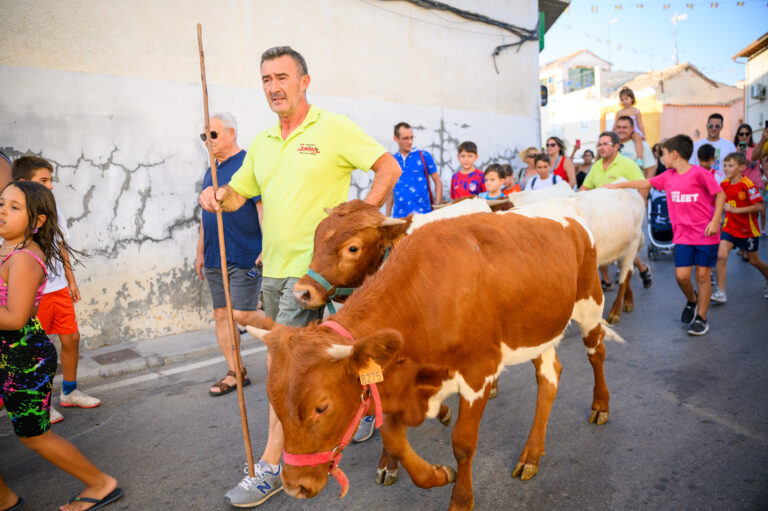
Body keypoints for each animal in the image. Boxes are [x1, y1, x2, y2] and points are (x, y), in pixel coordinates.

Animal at [252, 205, 624, 511]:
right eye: (273, 402)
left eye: (322, 408)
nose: (295, 486)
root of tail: (565, 211)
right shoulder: (395, 379)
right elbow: (394, 439)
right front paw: (435, 474)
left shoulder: (478, 373)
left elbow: (462, 443)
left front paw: (460, 500)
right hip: (537, 330)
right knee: (550, 378)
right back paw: (531, 455)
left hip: (589, 303)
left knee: (597, 352)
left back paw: (600, 406)